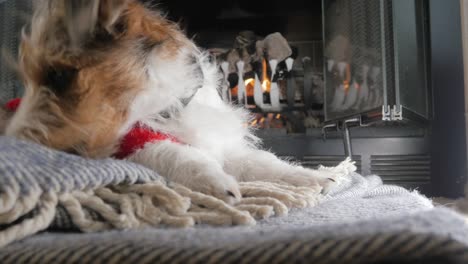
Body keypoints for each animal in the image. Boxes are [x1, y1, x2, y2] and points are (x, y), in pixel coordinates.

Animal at [2, 0, 354, 204]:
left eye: (58, 76)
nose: (16, 142)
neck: (168, 106)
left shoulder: (226, 145)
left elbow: (266, 163)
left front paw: (317, 177)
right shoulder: (133, 142)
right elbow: (176, 154)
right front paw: (216, 183)